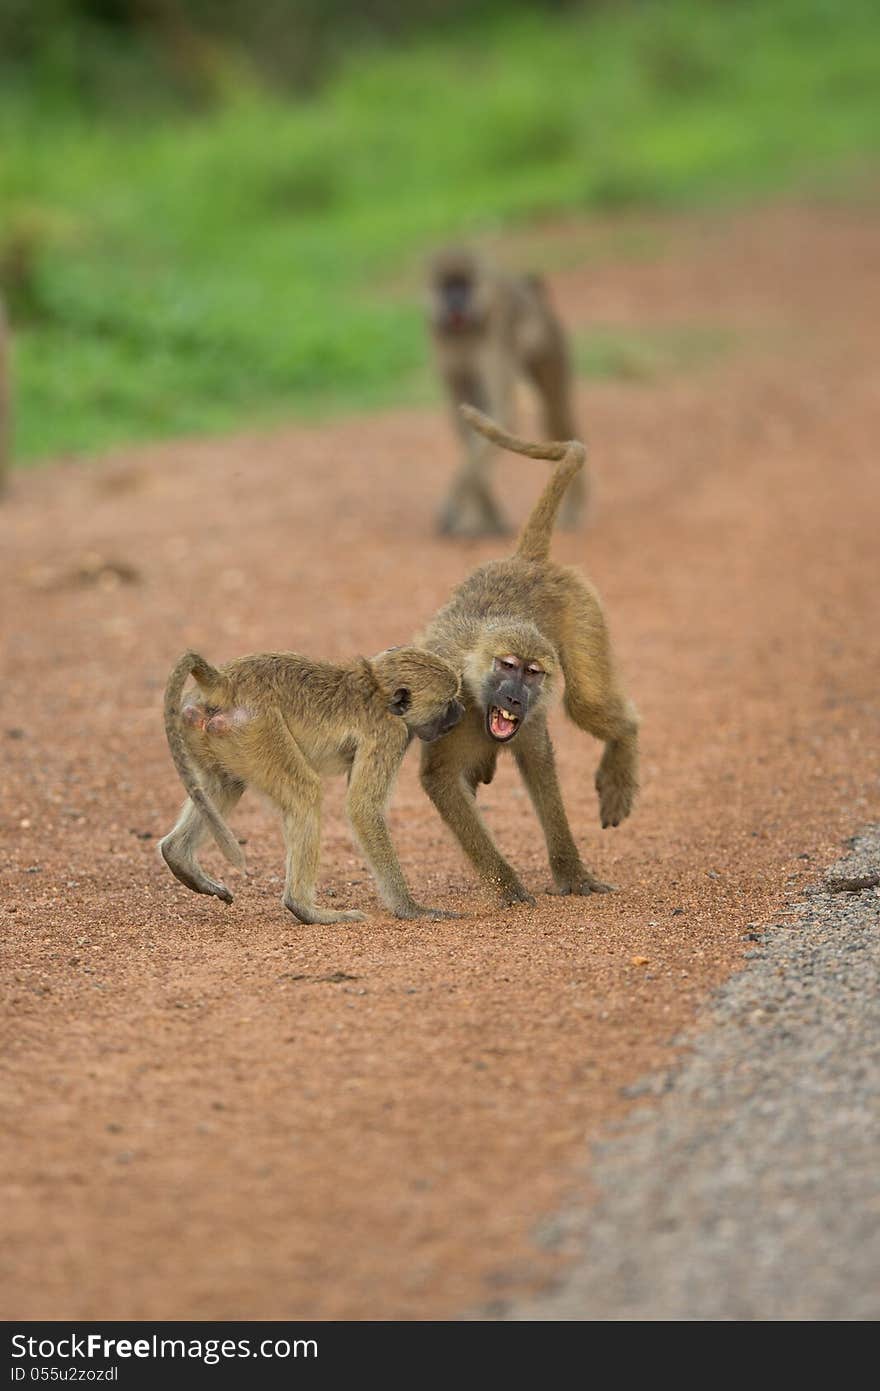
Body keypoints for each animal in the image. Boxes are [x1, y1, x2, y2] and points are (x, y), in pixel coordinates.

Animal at [156, 645, 467, 929]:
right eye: (448, 702)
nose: (462, 711)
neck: (376, 688)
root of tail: (225, 681)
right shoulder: (391, 734)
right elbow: (363, 808)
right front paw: (411, 909)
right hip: (259, 729)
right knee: (305, 794)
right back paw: (306, 909)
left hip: (210, 730)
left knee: (224, 785)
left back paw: (178, 855)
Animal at [414, 403, 633, 906]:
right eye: (507, 666)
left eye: (532, 673)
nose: (514, 698)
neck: (477, 692)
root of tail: (527, 562)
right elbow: (441, 779)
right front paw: (507, 885)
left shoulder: (530, 721)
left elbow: (538, 764)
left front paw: (572, 874)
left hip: (582, 608)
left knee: (587, 704)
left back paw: (622, 757)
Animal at [425, 247, 583, 534]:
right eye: (447, 286)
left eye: (463, 286)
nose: (455, 303)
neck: (464, 331)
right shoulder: (441, 338)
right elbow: (465, 422)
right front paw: (484, 517)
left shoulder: (494, 332)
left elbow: (502, 414)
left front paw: (456, 506)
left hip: (551, 344)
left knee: (555, 414)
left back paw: (577, 510)